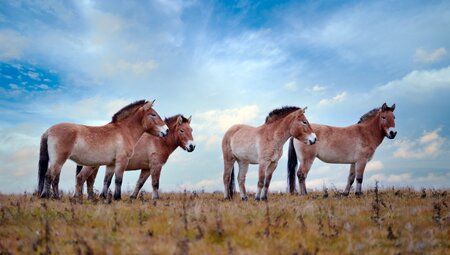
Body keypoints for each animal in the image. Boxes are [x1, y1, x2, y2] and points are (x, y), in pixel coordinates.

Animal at [37, 98, 169, 200]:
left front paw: (105, 197)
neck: (124, 131)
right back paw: (46, 196)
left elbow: (107, 181)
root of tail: (48, 131)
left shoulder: (111, 164)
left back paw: (57, 197)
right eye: (153, 114)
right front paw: (117, 198)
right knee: (49, 176)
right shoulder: (122, 161)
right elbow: (118, 180)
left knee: (55, 178)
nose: (166, 130)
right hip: (59, 160)